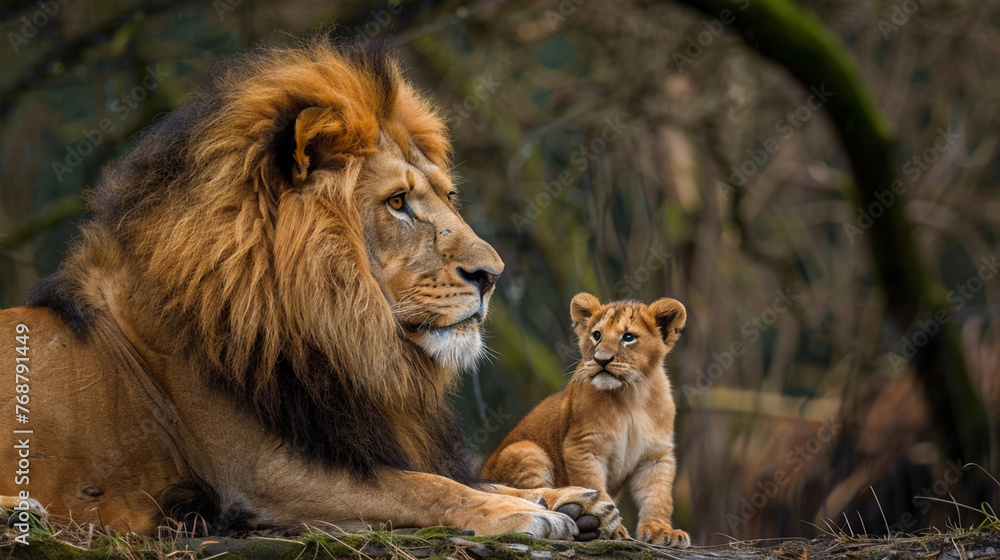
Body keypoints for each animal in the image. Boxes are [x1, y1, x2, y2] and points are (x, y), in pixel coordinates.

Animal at [0, 37, 621, 540]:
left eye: (446, 196)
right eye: (398, 202)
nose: (491, 275)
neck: (332, 336)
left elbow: (457, 477)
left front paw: (569, 499)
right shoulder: (262, 474)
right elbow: (424, 486)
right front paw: (524, 513)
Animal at [481, 293, 690, 547]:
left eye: (628, 337)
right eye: (597, 335)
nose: (601, 360)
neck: (631, 396)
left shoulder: (655, 456)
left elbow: (658, 496)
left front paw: (662, 531)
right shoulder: (582, 446)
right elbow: (593, 485)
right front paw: (611, 528)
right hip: (525, 450)